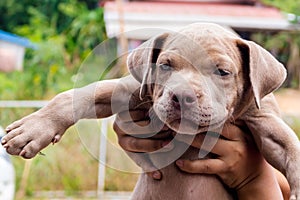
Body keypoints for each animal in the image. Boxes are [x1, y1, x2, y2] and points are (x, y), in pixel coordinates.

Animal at [2, 23, 300, 198]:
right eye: (165, 65)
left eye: (223, 72)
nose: (182, 95)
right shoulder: (129, 89)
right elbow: (72, 98)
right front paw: (32, 130)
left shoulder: (263, 117)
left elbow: (290, 146)